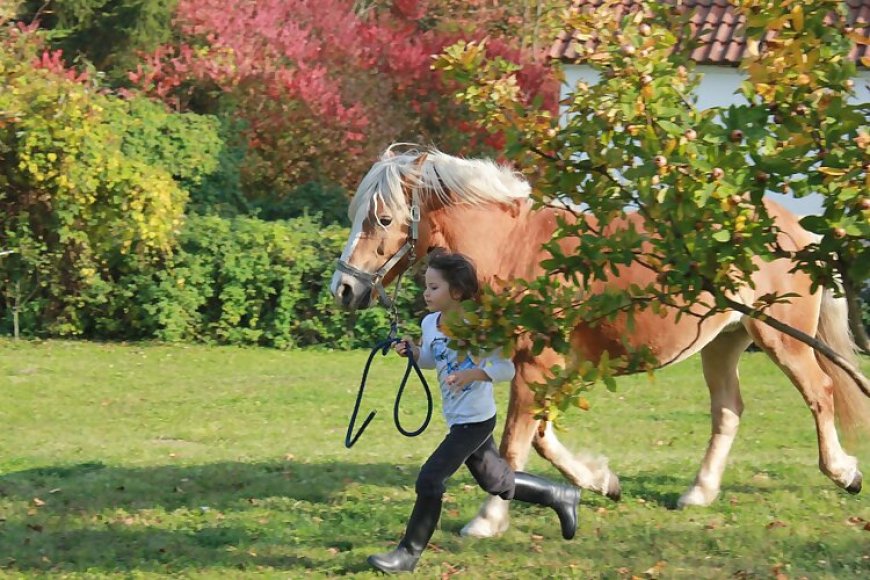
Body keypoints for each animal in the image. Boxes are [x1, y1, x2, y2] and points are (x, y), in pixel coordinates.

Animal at [330, 145, 868, 540]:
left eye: (382, 219)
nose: (344, 288)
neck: (516, 249)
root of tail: (794, 229)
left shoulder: (536, 366)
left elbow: (515, 444)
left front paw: (486, 521)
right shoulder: (544, 368)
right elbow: (541, 438)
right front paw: (601, 482)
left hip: (780, 337)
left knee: (819, 393)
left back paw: (844, 472)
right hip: (724, 342)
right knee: (728, 411)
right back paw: (698, 493)